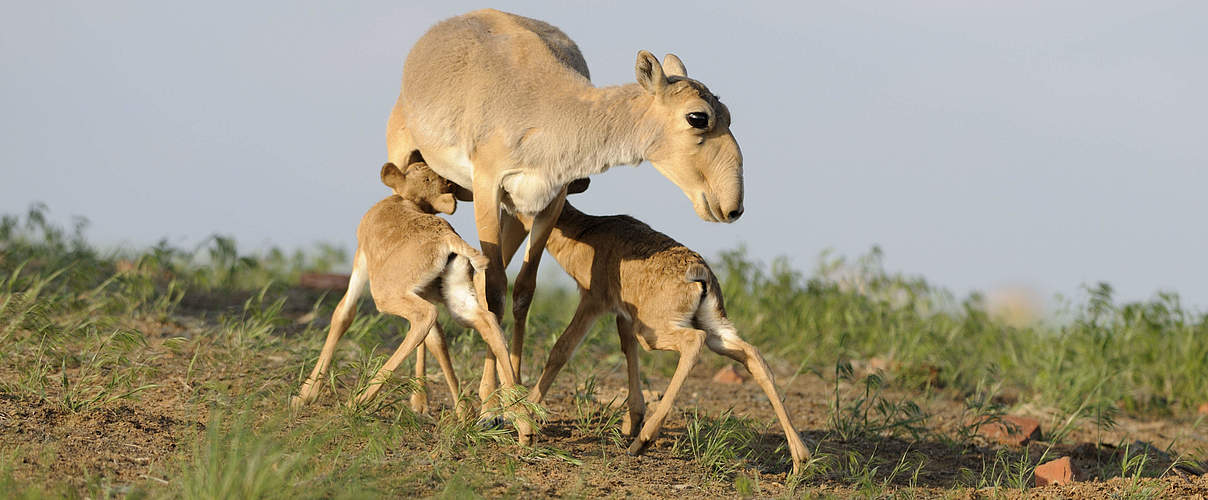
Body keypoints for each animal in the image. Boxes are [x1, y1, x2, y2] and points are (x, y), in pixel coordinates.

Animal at [289, 161, 531, 444]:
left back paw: (357, 402)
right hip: (458, 298)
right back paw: (523, 425)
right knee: (487, 322)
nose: (448, 184)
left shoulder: (361, 258)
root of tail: (447, 239)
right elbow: (437, 341)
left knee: (424, 316)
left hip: (386, 293)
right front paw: (464, 413)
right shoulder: (424, 291)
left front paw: (305, 395)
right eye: (426, 174)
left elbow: (343, 314)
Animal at [531, 201, 806, 473]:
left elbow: (562, 348)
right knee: (753, 355)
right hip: (717, 331)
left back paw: (643, 441)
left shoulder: (593, 301)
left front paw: (525, 411)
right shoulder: (624, 314)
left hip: (654, 333)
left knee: (694, 341)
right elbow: (627, 346)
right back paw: (800, 459)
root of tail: (700, 274)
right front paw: (631, 421)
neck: (586, 231)